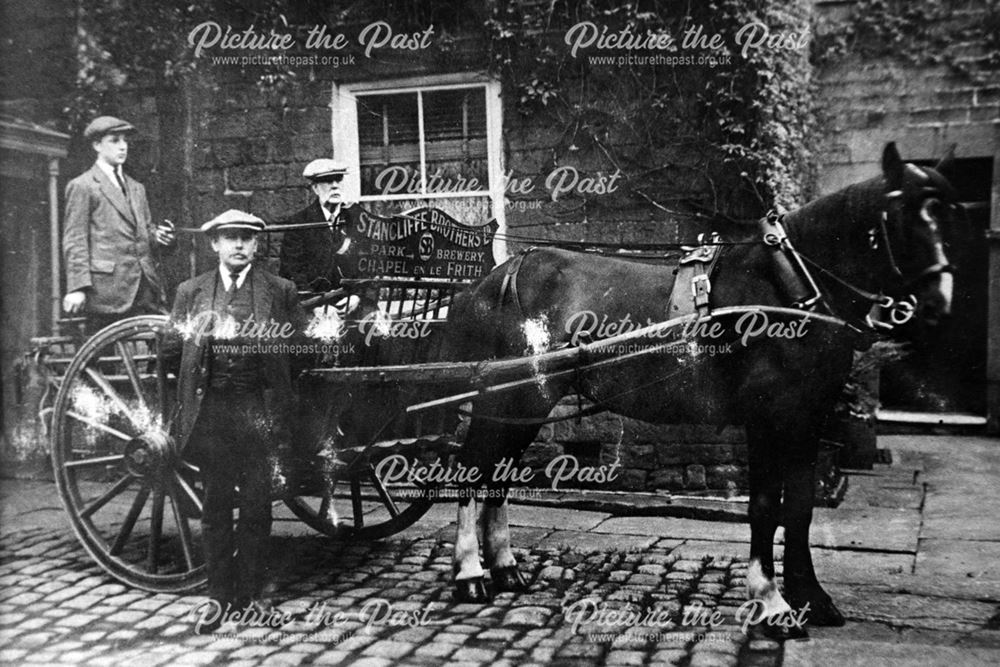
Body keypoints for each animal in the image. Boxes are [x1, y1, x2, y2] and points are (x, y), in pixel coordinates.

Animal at [442, 144, 956, 640]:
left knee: (498, 475)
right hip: (511, 398)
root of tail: (498, 276)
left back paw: (505, 568)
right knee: (471, 470)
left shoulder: (807, 418)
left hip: (524, 405)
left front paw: (812, 597)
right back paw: (470, 574)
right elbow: (766, 508)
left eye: (948, 213)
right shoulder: (766, 418)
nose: (939, 306)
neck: (787, 286)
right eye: (899, 214)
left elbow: (801, 508)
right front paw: (771, 604)